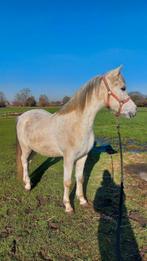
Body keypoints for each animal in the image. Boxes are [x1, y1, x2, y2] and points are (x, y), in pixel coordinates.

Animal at [16, 66, 137, 211]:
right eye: (123, 88)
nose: (134, 110)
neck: (78, 124)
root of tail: (22, 116)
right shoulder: (68, 158)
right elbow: (67, 182)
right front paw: (68, 206)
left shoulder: (82, 157)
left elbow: (80, 178)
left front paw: (82, 200)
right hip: (25, 147)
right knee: (24, 161)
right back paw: (28, 185)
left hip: (34, 149)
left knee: (27, 162)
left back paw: (25, 181)